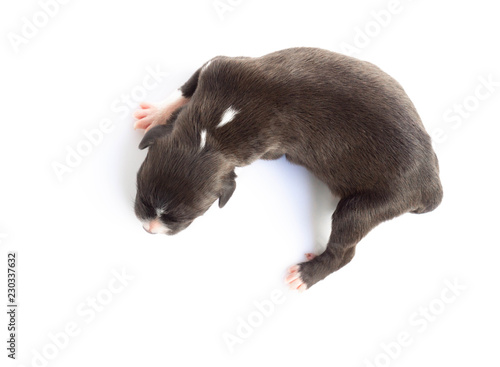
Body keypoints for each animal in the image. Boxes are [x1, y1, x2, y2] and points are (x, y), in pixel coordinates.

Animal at [132, 46, 442, 294]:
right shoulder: (218, 66)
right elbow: (186, 86)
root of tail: (431, 183)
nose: (149, 229)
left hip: (371, 205)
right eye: (141, 195)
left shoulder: (267, 147)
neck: (213, 130)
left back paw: (307, 274)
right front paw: (158, 112)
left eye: (188, 217)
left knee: (345, 249)